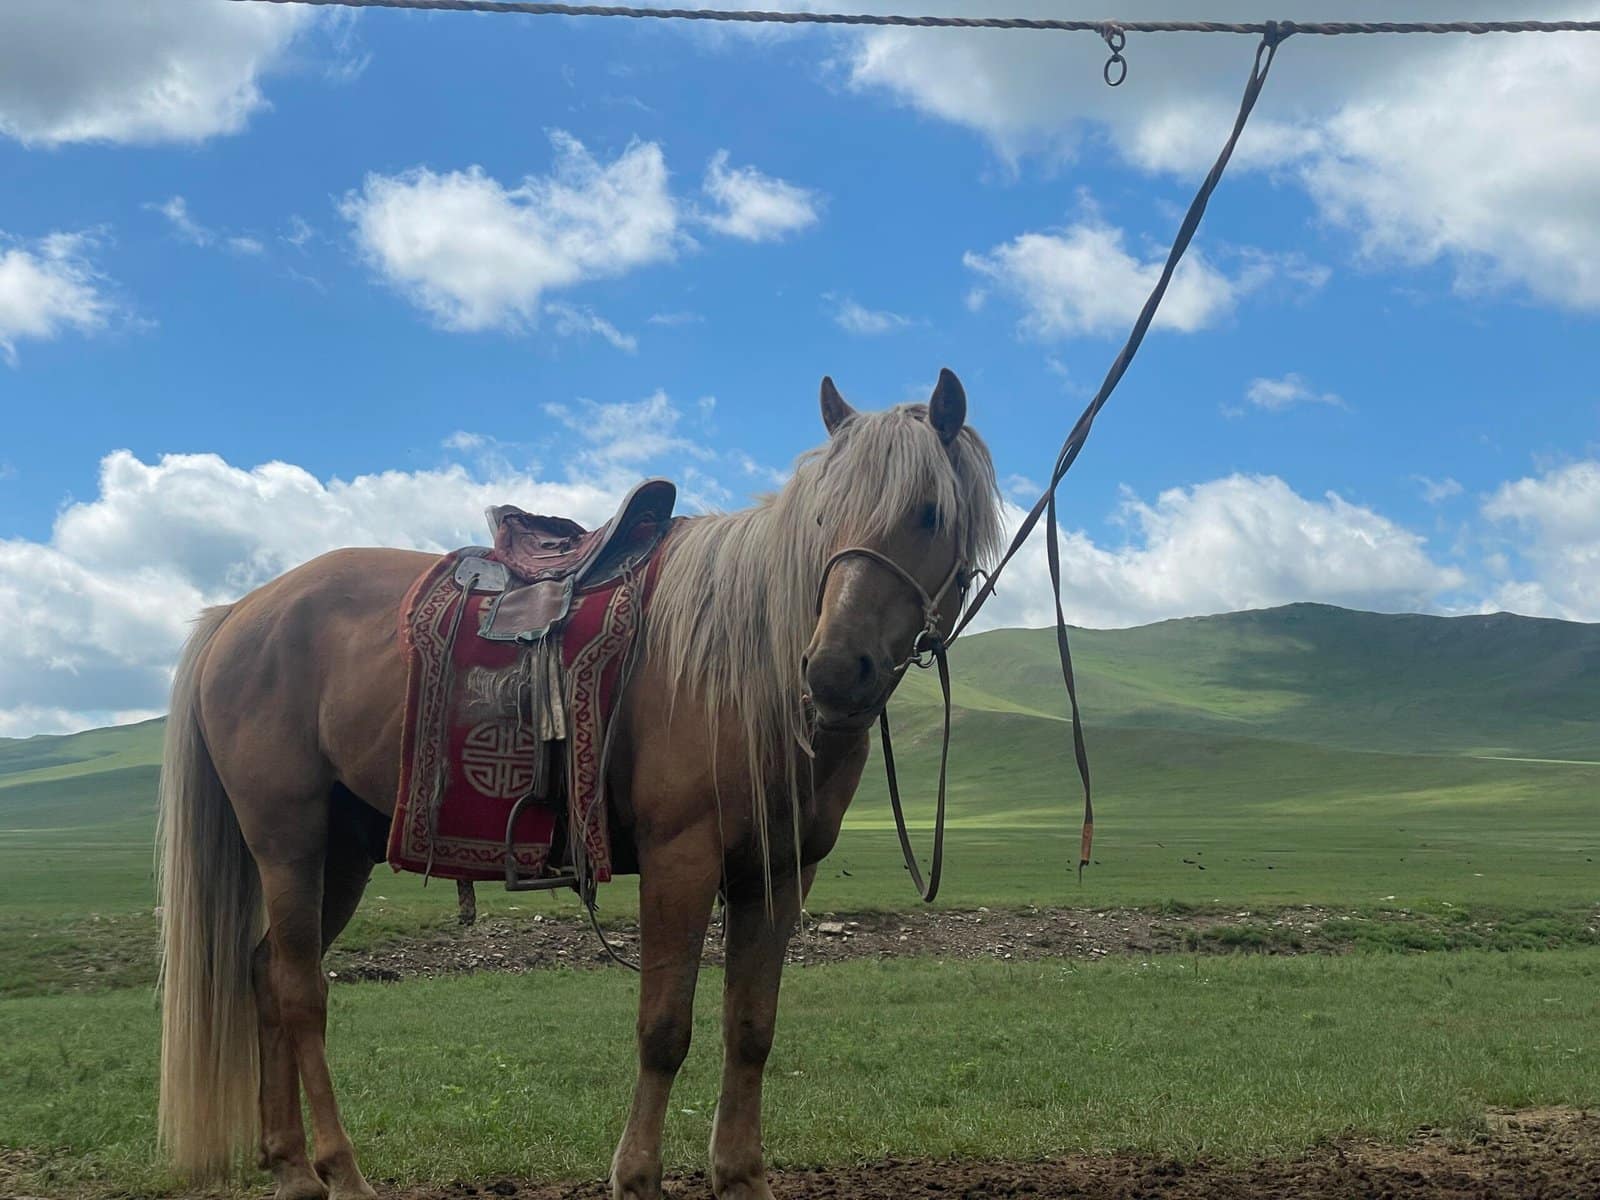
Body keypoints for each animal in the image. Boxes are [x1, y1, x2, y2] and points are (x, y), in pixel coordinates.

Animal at [155, 369, 1005, 1200]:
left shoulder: (781, 870)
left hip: (343, 850)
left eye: (929, 512)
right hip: (288, 839)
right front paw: (636, 1177)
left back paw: (292, 1168)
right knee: (301, 990)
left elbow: (751, 1028)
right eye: (825, 515)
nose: (831, 670)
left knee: (265, 975)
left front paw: (740, 1176)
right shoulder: (681, 857)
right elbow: (664, 1029)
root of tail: (241, 612)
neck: (742, 664)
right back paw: (341, 1171)